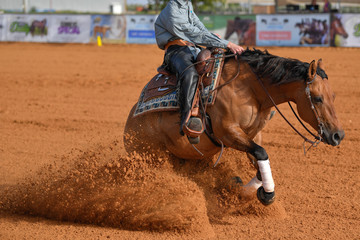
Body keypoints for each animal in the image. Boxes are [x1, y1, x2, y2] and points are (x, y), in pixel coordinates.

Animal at [124, 49, 346, 206]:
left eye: (334, 96)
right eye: (317, 98)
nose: (338, 135)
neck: (250, 88)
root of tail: (130, 122)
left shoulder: (253, 134)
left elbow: (260, 160)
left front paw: (243, 188)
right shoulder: (228, 133)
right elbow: (261, 153)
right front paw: (267, 194)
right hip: (149, 157)